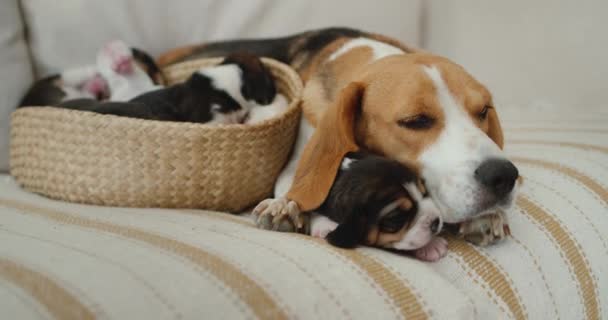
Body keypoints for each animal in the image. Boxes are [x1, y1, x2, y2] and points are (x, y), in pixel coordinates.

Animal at [159, 28, 520, 248]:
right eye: (416, 121)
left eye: (483, 110)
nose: (504, 176)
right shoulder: (300, 156)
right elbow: (295, 184)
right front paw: (284, 206)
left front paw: (487, 217)